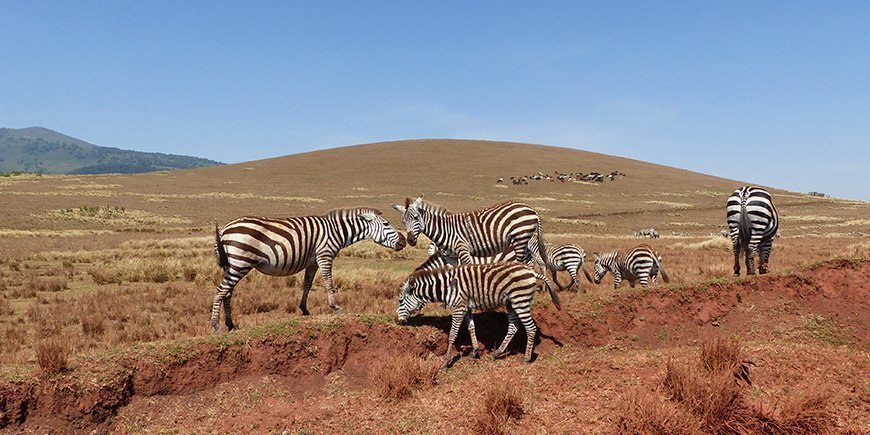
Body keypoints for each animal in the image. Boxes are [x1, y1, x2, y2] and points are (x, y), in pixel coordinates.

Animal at [211, 208, 406, 332]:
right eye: (386, 224)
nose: (404, 241)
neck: (336, 231)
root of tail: (224, 229)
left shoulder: (312, 262)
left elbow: (307, 284)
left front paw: (304, 309)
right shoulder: (325, 255)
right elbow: (328, 283)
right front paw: (336, 307)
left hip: (233, 265)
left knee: (227, 292)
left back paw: (230, 325)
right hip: (241, 262)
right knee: (221, 290)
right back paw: (216, 326)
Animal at [396, 263, 560, 367]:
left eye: (400, 300)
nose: (397, 321)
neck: (447, 287)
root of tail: (531, 271)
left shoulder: (458, 307)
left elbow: (453, 334)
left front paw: (446, 361)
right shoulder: (466, 307)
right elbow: (471, 328)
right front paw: (474, 352)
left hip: (520, 300)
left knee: (531, 328)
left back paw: (526, 359)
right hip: (511, 303)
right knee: (514, 326)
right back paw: (496, 353)